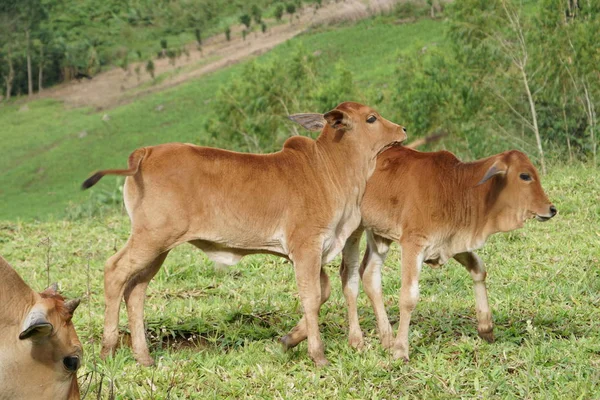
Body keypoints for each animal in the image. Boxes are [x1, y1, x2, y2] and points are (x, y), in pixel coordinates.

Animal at [82, 101, 406, 366]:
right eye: (371, 118)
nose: (402, 129)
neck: (330, 169)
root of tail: (145, 152)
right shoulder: (306, 247)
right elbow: (311, 297)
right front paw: (317, 354)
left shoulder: (312, 251)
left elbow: (321, 292)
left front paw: (290, 339)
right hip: (151, 238)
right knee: (114, 271)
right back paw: (107, 349)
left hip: (159, 247)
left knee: (136, 289)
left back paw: (144, 357)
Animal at [340, 146, 556, 360]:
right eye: (525, 175)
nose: (552, 209)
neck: (457, 187)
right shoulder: (412, 243)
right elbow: (409, 297)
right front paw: (401, 350)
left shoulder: (451, 243)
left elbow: (479, 269)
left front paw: (485, 328)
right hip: (352, 229)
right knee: (349, 276)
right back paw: (357, 340)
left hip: (378, 234)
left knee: (369, 275)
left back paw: (386, 339)